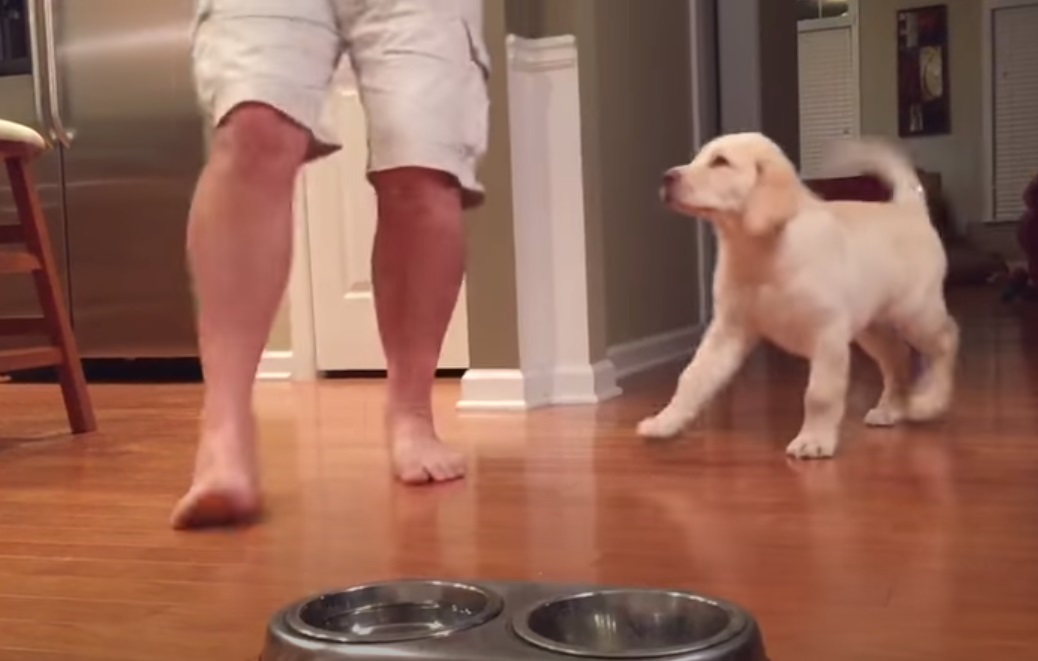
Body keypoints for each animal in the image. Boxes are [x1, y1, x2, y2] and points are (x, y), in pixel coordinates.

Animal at [635, 130, 959, 456]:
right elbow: (693, 376)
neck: (759, 249)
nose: (666, 177)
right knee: (899, 356)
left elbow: (819, 394)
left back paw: (931, 401)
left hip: (915, 313)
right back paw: (891, 408)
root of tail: (909, 207)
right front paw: (666, 422)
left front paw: (814, 440)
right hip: (872, 327)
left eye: (720, 162)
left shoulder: (828, 334)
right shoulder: (728, 329)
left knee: (946, 340)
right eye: (697, 158)